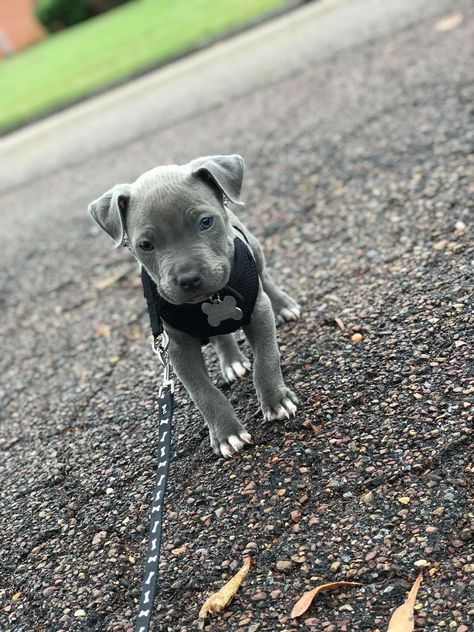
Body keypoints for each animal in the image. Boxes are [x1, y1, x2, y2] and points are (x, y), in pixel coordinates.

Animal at [90, 156, 300, 456]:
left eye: (206, 222)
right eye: (145, 245)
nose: (189, 278)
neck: (208, 300)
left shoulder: (258, 313)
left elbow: (266, 360)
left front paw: (276, 401)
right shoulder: (177, 349)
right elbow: (203, 393)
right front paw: (227, 433)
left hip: (257, 252)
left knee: (266, 278)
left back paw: (284, 306)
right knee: (220, 336)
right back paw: (232, 361)